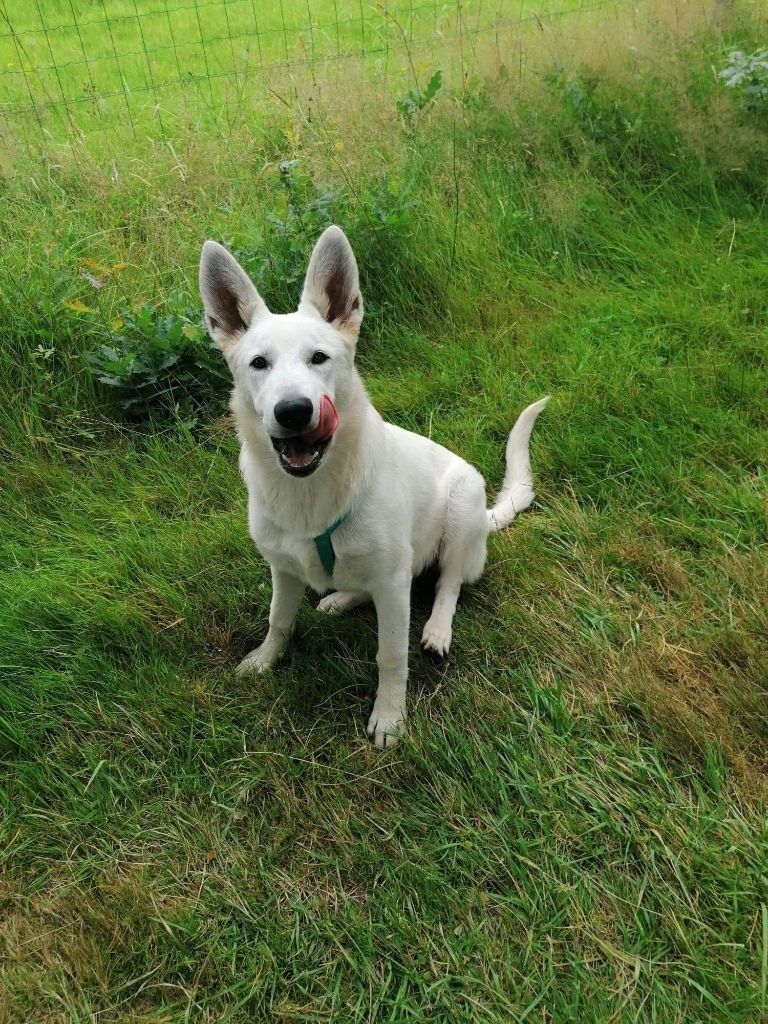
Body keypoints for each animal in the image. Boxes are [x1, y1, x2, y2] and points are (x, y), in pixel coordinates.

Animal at [198, 228, 548, 749]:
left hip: (461, 507)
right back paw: (341, 598)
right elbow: (279, 619)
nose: (294, 411)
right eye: (258, 363)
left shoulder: (391, 586)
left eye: (319, 358)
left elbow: (391, 655)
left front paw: (389, 718)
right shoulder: (284, 569)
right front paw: (264, 660)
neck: (312, 495)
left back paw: (437, 628)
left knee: (447, 582)